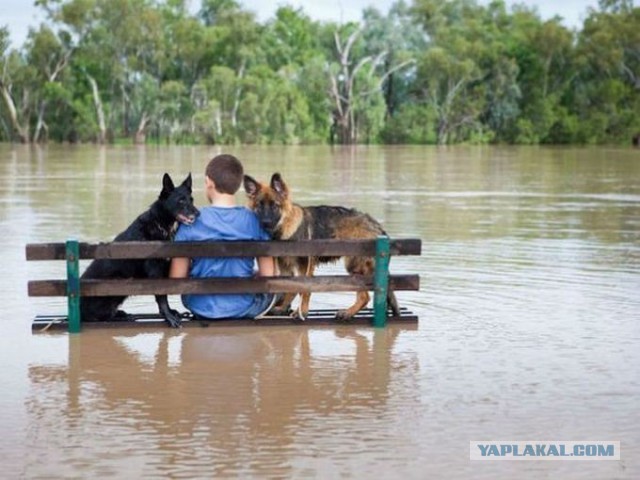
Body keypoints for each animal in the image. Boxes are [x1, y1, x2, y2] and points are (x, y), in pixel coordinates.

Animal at [81, 174, 199, 328]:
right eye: (181, 200)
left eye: (191, 199)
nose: (198, 213)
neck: (161, 225)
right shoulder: (155, 271)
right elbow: (161, 296)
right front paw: (168, 316)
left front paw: (169, 313)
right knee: (99, 317)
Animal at [242, 173, 398, 322]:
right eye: (259, 205)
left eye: (274, 205)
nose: (265, 223)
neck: (286, 227)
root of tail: (377, 226)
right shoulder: (285, 266)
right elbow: (289, 287)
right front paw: (283, 308)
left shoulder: (305, 267)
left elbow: (304, 290)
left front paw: (302, 312)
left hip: (353, 266)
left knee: (364, 296)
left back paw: (347, 313)